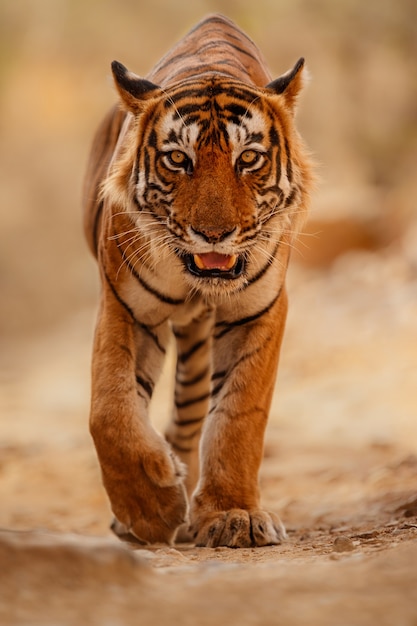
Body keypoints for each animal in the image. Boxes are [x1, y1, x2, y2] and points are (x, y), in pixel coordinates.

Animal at [83, 12, 312, 544]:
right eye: (177, 159)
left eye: (248, 159)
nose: (214, 234)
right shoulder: (124, 305)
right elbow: (110, 411)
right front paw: (149, 509)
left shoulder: (258, 309)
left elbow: (239, 416)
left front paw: (233, 515)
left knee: (192, 418)